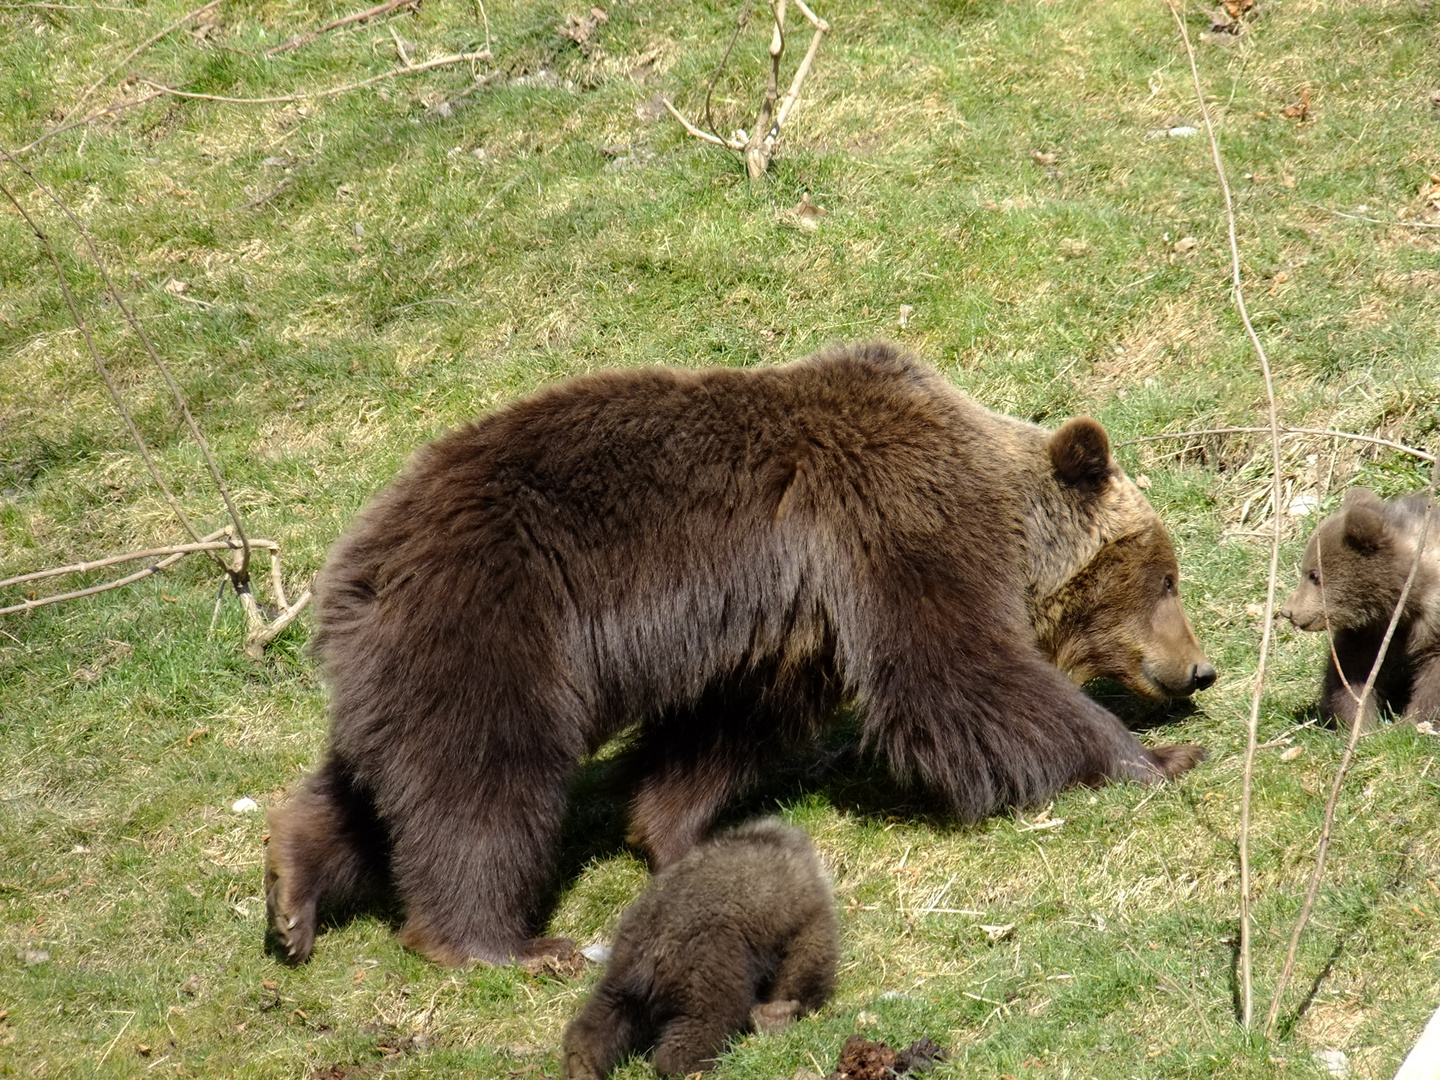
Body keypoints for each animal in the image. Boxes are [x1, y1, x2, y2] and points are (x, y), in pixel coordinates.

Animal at [264, 342, 1209, 967]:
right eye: (1164, 574)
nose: (1200, 667)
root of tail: (351, 571)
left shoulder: (787, 633)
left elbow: (722, 731)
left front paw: (675, 831)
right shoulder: (890, 517)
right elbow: (955, 676)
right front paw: (1154, 757)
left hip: (404, 667)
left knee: (379, 781)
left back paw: (292, 889)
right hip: (494, 623)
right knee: (482, 782)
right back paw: (502, 944)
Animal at [558, 817, 840, 1080]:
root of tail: (648, 956)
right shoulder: (804, 911)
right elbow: (806, 957)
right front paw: (781, 1011)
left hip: (621, 974)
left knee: (602, 1016)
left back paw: (581, 1064)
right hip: (708, 970)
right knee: (706, 1021)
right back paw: (694, 1066)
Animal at [1284, 486, 1440, 731]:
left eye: (1313, 575)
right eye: (1306, 570)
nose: (1288, 611)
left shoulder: (1431, 620)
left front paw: (1415, 722)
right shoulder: (1371, 628)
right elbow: (1353, 667)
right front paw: (1356, 721)